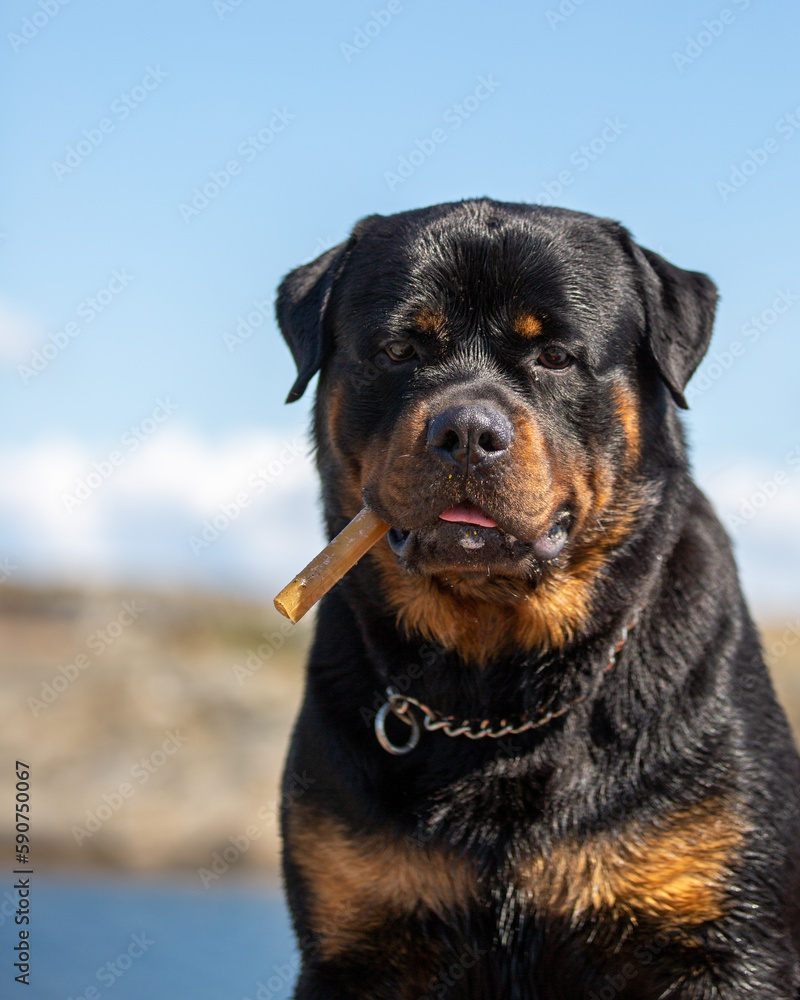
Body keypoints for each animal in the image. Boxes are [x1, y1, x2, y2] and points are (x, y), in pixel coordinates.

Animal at [276, 201, 800, 1000]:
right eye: (399, 349)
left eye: (555, 355)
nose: (466, 430)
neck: (495, 695)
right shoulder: (358, 937)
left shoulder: (724, 943)